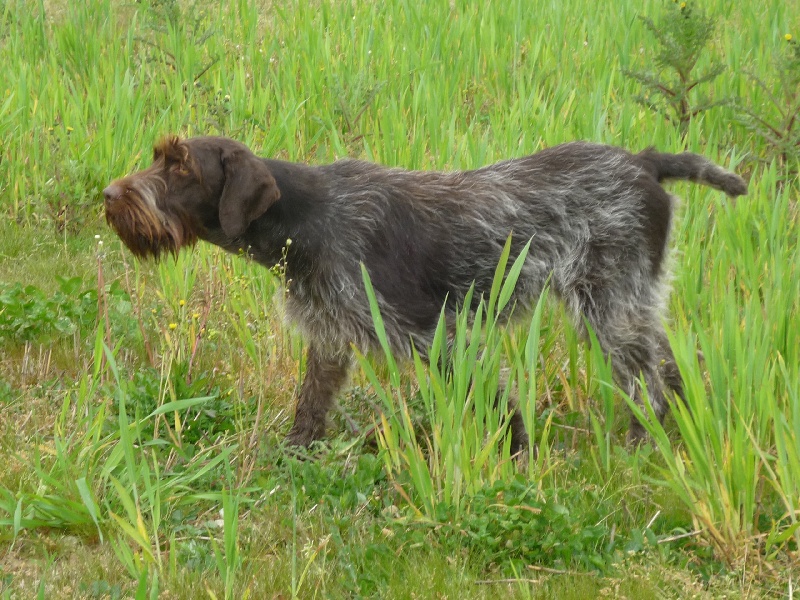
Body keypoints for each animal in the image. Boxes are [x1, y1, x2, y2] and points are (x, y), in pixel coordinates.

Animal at [103, 135, 748, 446]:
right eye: (159, 158)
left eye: (181, 168)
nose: (109, 195)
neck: (304, 216)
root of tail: (643, 161)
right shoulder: (331, 336)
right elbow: (309, 408)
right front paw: (289, 460)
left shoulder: (436, 333)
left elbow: (496, 404)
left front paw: (517, 456)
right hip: (630, 301)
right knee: (667, 366)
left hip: (610, 304)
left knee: (648, 382)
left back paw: (643, 442)